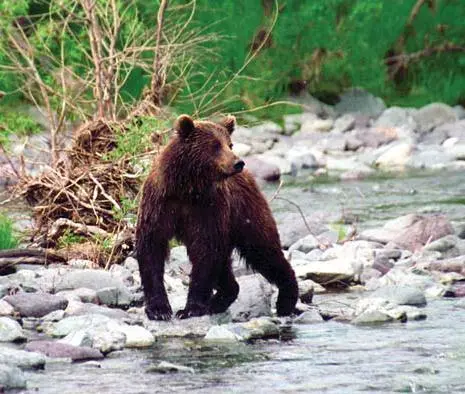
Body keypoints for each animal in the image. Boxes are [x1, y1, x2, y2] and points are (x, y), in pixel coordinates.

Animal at [135, 114, 298, 320]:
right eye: (215, 145)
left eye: (230, 144)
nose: (238, 163)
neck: (187, 188)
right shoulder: (160, 203)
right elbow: (152, 248)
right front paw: (159, 309)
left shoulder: (207, 208)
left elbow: (205, 251)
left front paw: (190, 308)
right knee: (228, 263)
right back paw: (218, 301)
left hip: (245, 213)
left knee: (263, 250)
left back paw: (286, 300)